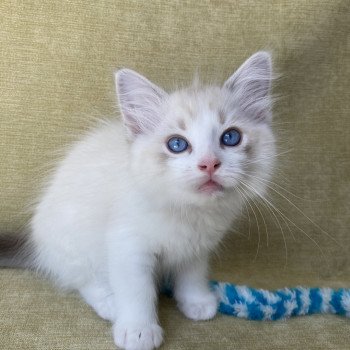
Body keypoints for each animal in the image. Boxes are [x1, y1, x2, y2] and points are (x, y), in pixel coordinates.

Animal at [0, 52, 276, 350]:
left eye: (230, 137)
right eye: (177, 144)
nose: (209, 164)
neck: (188, 212)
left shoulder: (197, 248)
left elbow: (192, 275)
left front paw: (197, 302)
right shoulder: (128, 246)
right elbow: (136, 292)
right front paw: (138, 330)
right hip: (73, 243)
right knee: (82, 280)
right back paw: (109, 303)